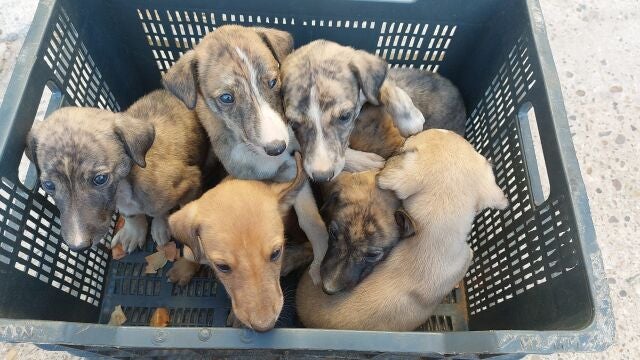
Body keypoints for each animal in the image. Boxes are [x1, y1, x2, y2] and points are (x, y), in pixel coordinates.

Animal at [26, 89, 208, 252]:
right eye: (49, 185)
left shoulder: (191, 182)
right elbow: (131, 215)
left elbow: (163, 210)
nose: (78, 247)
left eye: (100, 179)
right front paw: (135, 231)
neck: (123, 188)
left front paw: (161, 225)